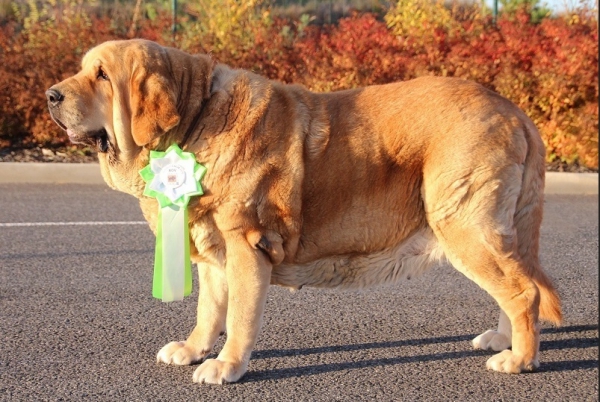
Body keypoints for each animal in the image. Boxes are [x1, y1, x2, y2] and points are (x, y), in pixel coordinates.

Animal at [48, 39, 564, 384]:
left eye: (101, 75)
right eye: (82, 70)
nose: (52, 95)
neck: (195, 120)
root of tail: (515, 112)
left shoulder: (246, 246)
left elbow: (239, 317)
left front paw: (227, 365)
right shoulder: (214, 251)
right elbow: (209, 310)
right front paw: (195, 349)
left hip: (463, 227)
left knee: (521, 292)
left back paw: (519, 359)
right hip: (490, 233)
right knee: (519, 285)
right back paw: (504, 341)